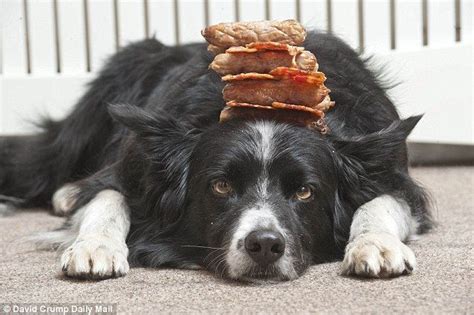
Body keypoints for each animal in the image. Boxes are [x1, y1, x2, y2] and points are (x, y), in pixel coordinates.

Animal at [0, 32, 432, 282]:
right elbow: (107, 197)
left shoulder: (388, 168)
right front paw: (95, 247)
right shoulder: (133, 166)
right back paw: (65, 194)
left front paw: (376, 245)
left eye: (305, 192)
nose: (264, 245)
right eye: (221, 186)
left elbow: (381, 201)